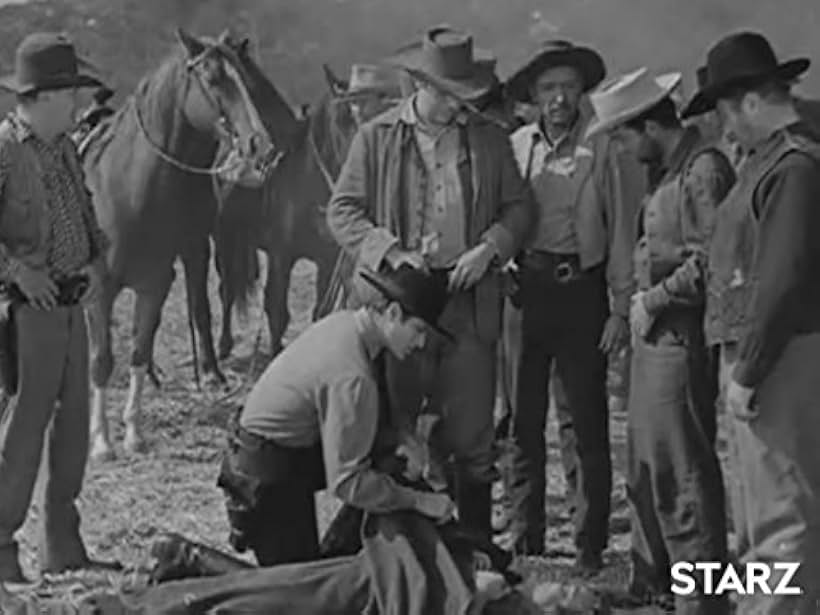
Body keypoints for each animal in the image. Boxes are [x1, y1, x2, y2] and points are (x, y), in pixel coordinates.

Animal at [81, 30, 278, 462]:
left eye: (246, 79)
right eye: (214, 80)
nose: (260, 145)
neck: (126, 190)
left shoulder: (155, 283)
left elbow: (139, 350)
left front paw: (133, 433)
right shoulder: (100, 290)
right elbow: (101, 360)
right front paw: (101, 442)